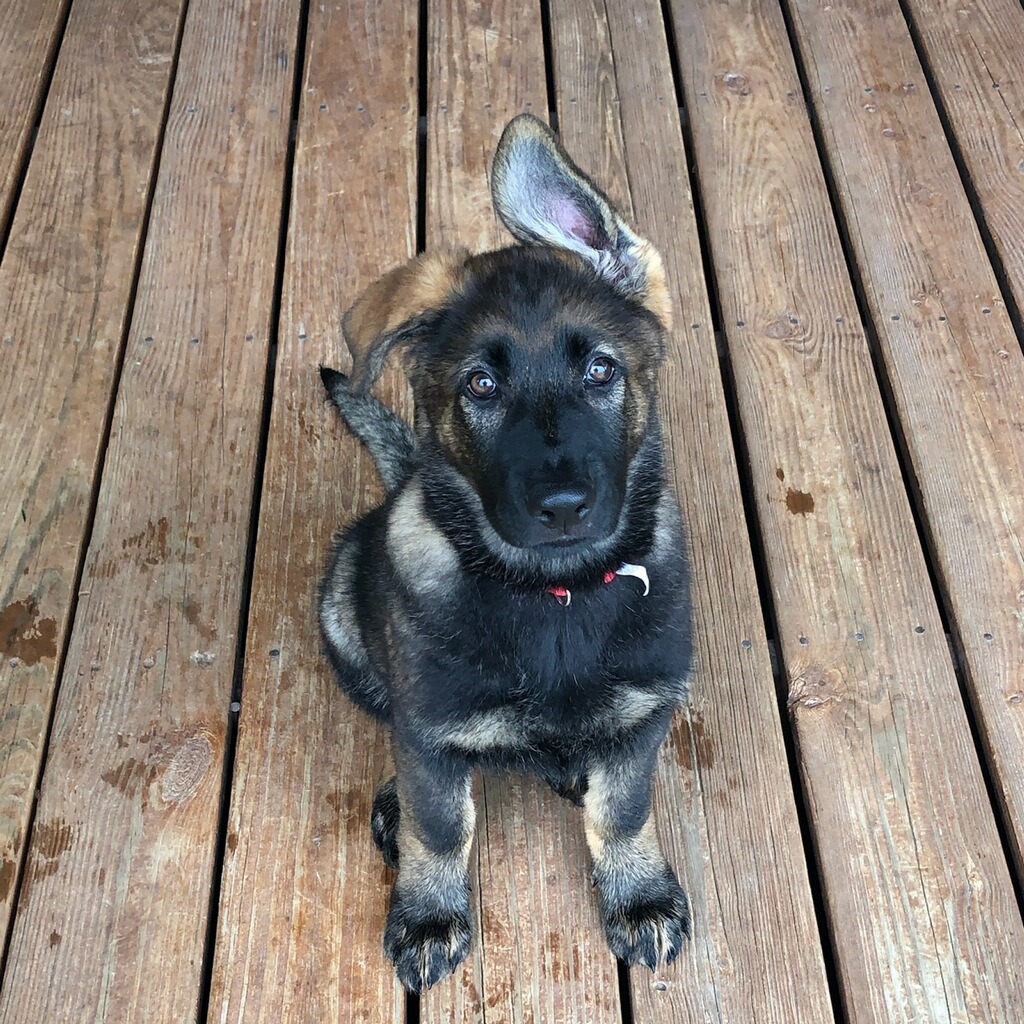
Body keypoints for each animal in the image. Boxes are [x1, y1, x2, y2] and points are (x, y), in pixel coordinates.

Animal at [315, 112, 692, 991]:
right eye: (481, 387)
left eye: (601, 371)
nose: (562, 508)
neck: (553, 592)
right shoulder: (430, 727)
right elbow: (441, 826)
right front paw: (429, 912)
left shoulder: (647, 710)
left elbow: (625, 810)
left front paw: (638, 895)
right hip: (344, 609)